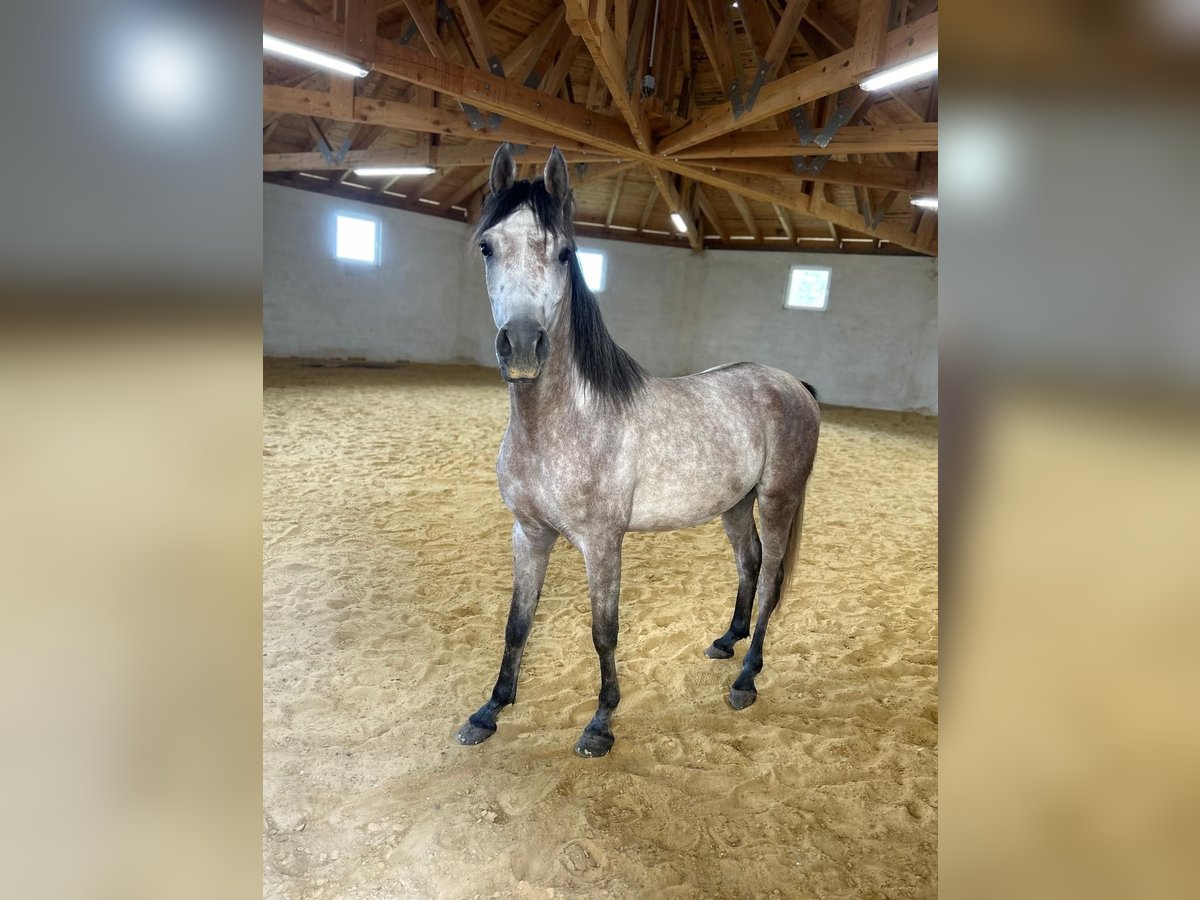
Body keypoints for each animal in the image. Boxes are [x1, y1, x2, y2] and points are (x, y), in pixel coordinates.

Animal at [453, 144, 820, 758]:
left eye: (565, 252)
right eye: (487, 246)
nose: (523, 348)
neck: (562, 424)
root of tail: (794, 385)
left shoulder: (602, 543)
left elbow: (604, 630)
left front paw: (601, 723)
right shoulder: (529, 534)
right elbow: (517, 622)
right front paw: (490, 711)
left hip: (777, 501)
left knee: (770, 578)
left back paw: (746, 678)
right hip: (734, 505)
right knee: (747, 565)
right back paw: (727, 641)